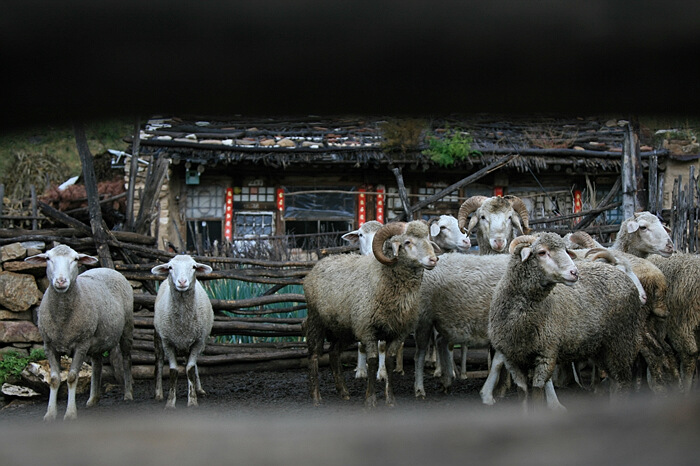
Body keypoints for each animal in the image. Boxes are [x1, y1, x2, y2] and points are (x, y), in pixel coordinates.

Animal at [25, 244, 135, 422]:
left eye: (75, 259)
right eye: (48, 258)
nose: (61, 281)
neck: (62, 318)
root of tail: (106, 268)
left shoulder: (81, 345)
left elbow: (71, 377)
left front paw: (70, 413)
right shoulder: (49, 345)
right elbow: (54, 379)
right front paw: (50, 414)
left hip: (126, 328)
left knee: (126, 359)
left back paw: (128, 393)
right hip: (96, 339)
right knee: (97, 364)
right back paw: (93, 399)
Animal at [154, 253, 215, 410]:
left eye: (193, 266)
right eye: (170, 267)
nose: (182, 282)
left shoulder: (198, 341)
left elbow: (190, 369)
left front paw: (192, 400)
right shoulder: (168, 343)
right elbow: (173, 371)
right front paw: (170, 402)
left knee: (193, 365)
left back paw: (199, 389)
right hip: (158, 337)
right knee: (159, 362)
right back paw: (158, 394)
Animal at [306, 220, 438, 406]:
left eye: (428, 239)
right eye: (407, 242)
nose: (433, 259)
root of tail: (322, 262)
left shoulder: (399, 332)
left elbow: (389, 361)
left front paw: (390, 400)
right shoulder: (368, 330)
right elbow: (373, 361)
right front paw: (370, 400)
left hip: (343, 328)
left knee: (334, 353)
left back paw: (343, 392)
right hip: (316, 319)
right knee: (314, 355)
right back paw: (316, 397)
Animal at [490, 233, 644, 408]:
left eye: (565, 250)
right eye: (542, 252)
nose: (574, 272)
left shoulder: (546, 355)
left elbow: (537, 395)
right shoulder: (511, 358)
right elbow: (523, 395)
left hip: (622, 342)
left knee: (623, 383)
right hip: (601, 348)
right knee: (615, 381)